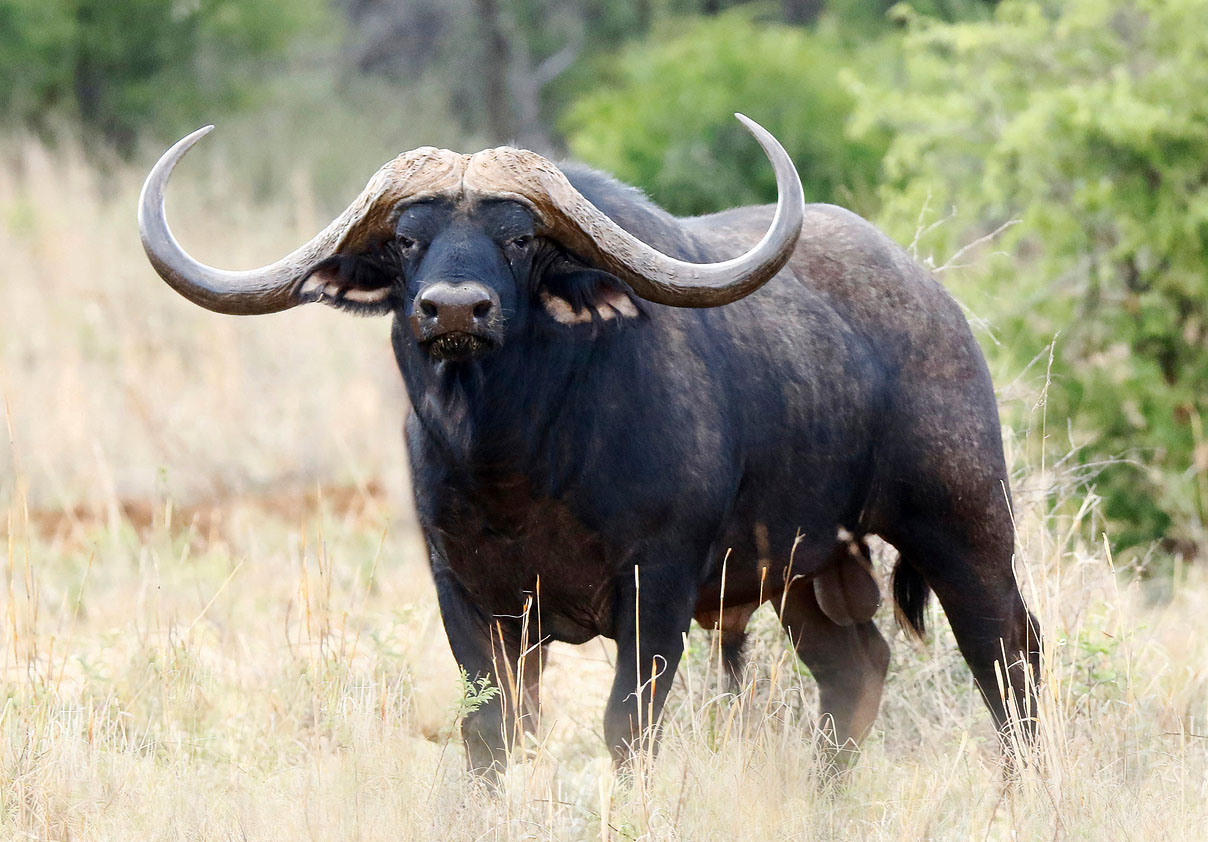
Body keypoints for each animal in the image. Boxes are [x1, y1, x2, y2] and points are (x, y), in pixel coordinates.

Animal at [138, 116, 1038, 773]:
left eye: (520, 239)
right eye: (405, 240)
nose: (454, 310)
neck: (518, 464)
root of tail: (935, 300)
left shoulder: (659, 592)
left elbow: (625, 729)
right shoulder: (470, 599)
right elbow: (492, 731)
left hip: (964, 525)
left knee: (1007, 656)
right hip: (806, 572)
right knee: (856, 668)